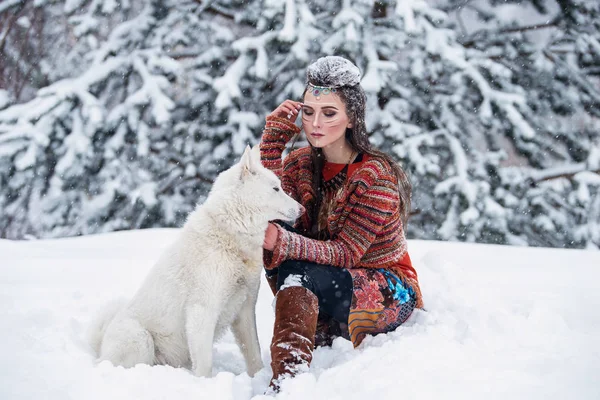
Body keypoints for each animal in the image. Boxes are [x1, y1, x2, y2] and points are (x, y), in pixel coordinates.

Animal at [86, 145, 302, 378]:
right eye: (276, 188)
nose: (302, 209)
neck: (230, 233)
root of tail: (100, 346)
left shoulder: (244, 310)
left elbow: (253, 353)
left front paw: (258, 377)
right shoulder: (202, 311)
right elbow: (205, 364)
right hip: (141, 340)